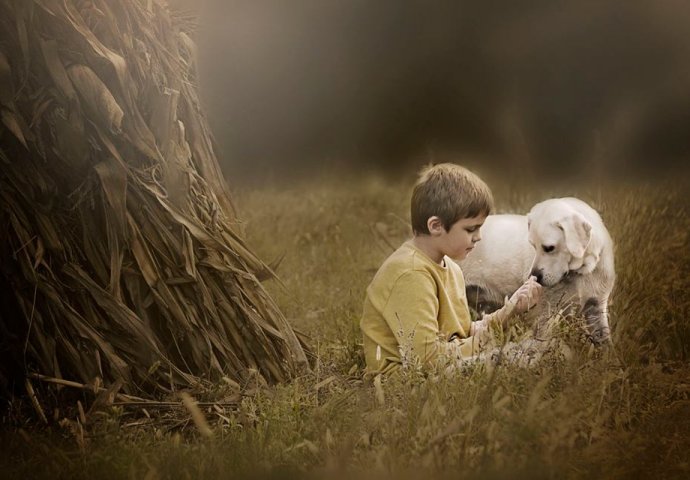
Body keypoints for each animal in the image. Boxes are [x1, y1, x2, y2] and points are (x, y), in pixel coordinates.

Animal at [456, 197, 612, 344]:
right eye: (533, 245)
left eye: (549, 248)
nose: (534, 276)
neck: (582, 272)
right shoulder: (546, 316)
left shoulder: (597, 308)